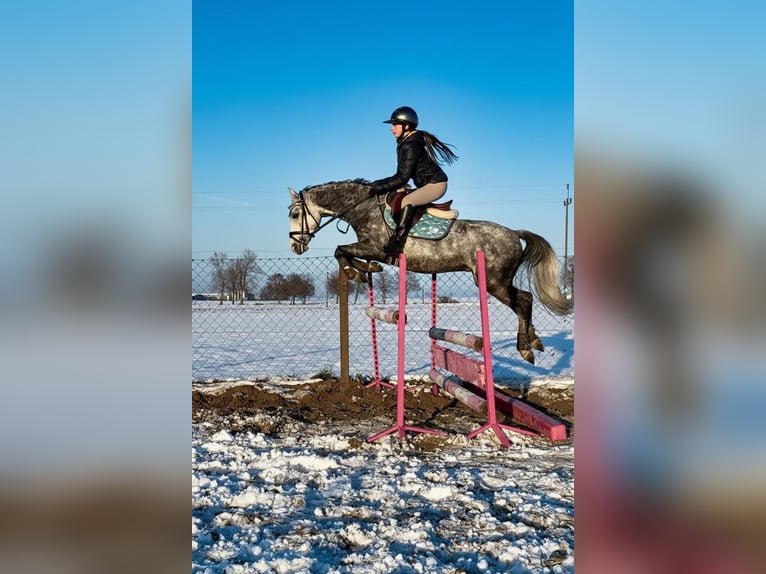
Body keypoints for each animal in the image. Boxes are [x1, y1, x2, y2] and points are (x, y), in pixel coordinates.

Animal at [288, 179, 572, 364]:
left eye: (294, 214)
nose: (295, 246)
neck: (364, 208)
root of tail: (514, 233)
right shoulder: (369, 248)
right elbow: (346, 252)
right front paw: (366, 269)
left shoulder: (376, 247)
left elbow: (340, 250)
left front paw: (356, 272)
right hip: (496, 281)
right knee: (526, 298)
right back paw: (534, 340)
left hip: (493, 282)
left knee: (523, 301)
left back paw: (525, 348)